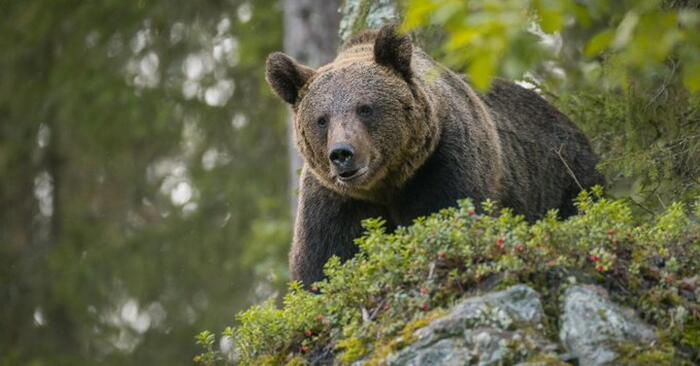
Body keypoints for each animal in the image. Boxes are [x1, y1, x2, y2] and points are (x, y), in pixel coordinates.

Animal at [266, 24, 604, 286]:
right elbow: (324, 262)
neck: (386, 184)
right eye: (321, 119)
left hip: (565, 178)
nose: (342, 154)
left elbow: (447, 218)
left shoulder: (443, 163)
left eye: (365, 108)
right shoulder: (335, 199)